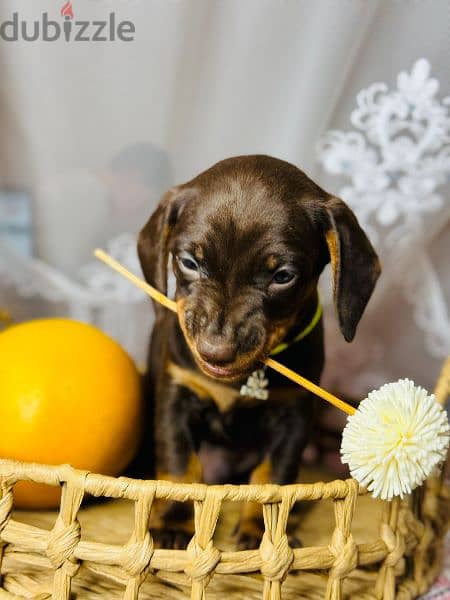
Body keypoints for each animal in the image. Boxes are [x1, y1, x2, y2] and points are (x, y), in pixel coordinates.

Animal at [137, 155, 380, 548]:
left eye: (282, 276)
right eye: (189, 262)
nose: (215, 352)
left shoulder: (294, 413)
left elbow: (273, 477)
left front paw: (262, 532)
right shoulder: (178, 393)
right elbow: (180, 465)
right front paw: (173, 523)